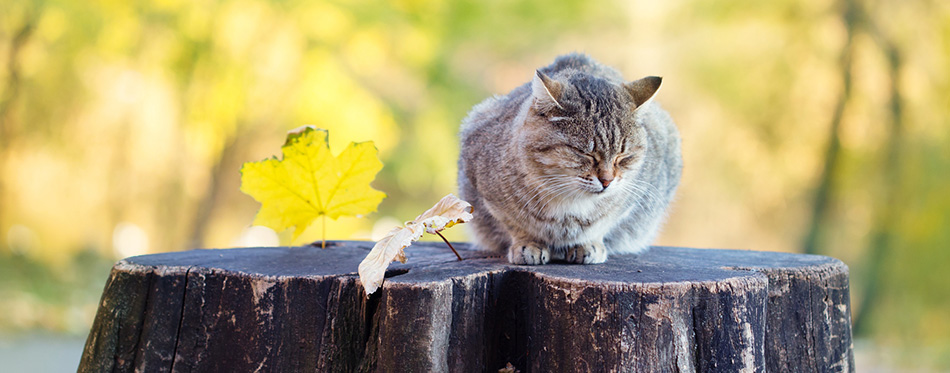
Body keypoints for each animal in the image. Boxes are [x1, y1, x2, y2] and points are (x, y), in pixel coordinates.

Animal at [458, 53, 680, 264]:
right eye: (584, 153)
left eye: (623, 156)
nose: (607, 181)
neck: (569, 202)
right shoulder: (488, 195)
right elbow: (515, 224)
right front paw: (528, 243)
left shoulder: (631, 200)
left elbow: (603, 223)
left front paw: (589, 243)